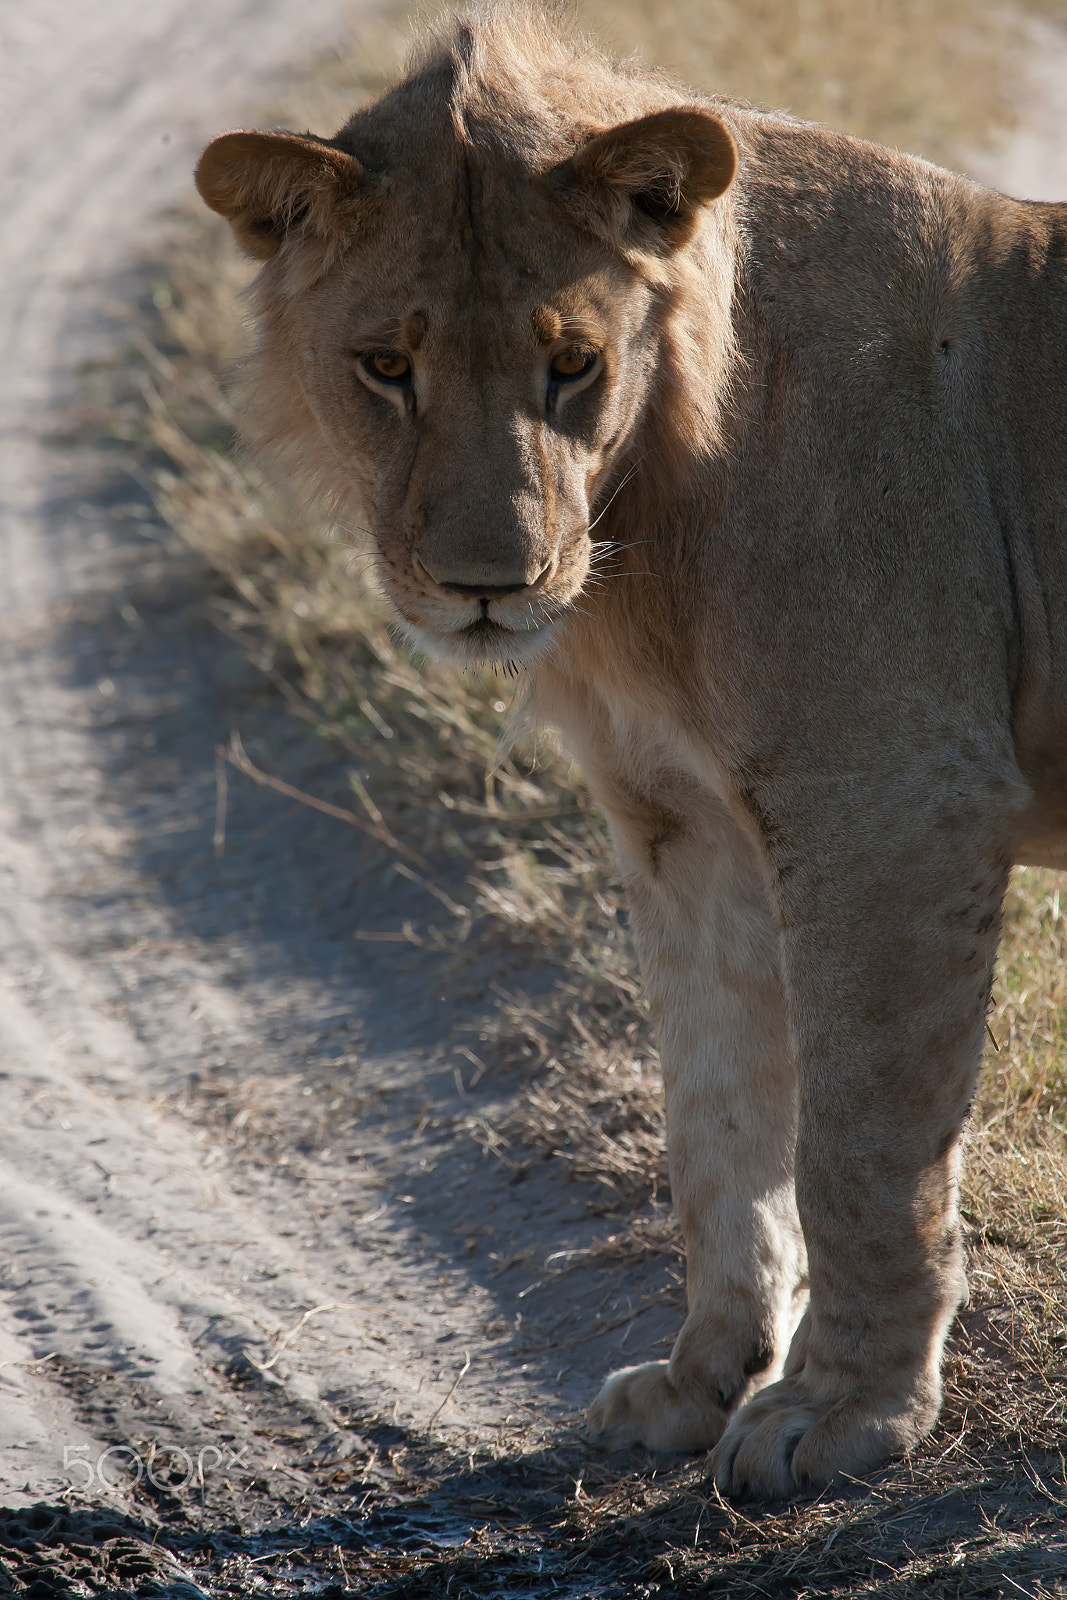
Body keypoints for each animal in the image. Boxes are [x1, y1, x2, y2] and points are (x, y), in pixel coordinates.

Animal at [194, 6, 1066, 1498]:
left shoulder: (893, 805)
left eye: (572, 364)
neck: (646, 525)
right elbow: (713, 1117)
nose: (485, 586)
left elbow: (858, 1139)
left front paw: (841, 1414)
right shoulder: (680, 821)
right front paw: (701, 1378)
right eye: (385, 367)